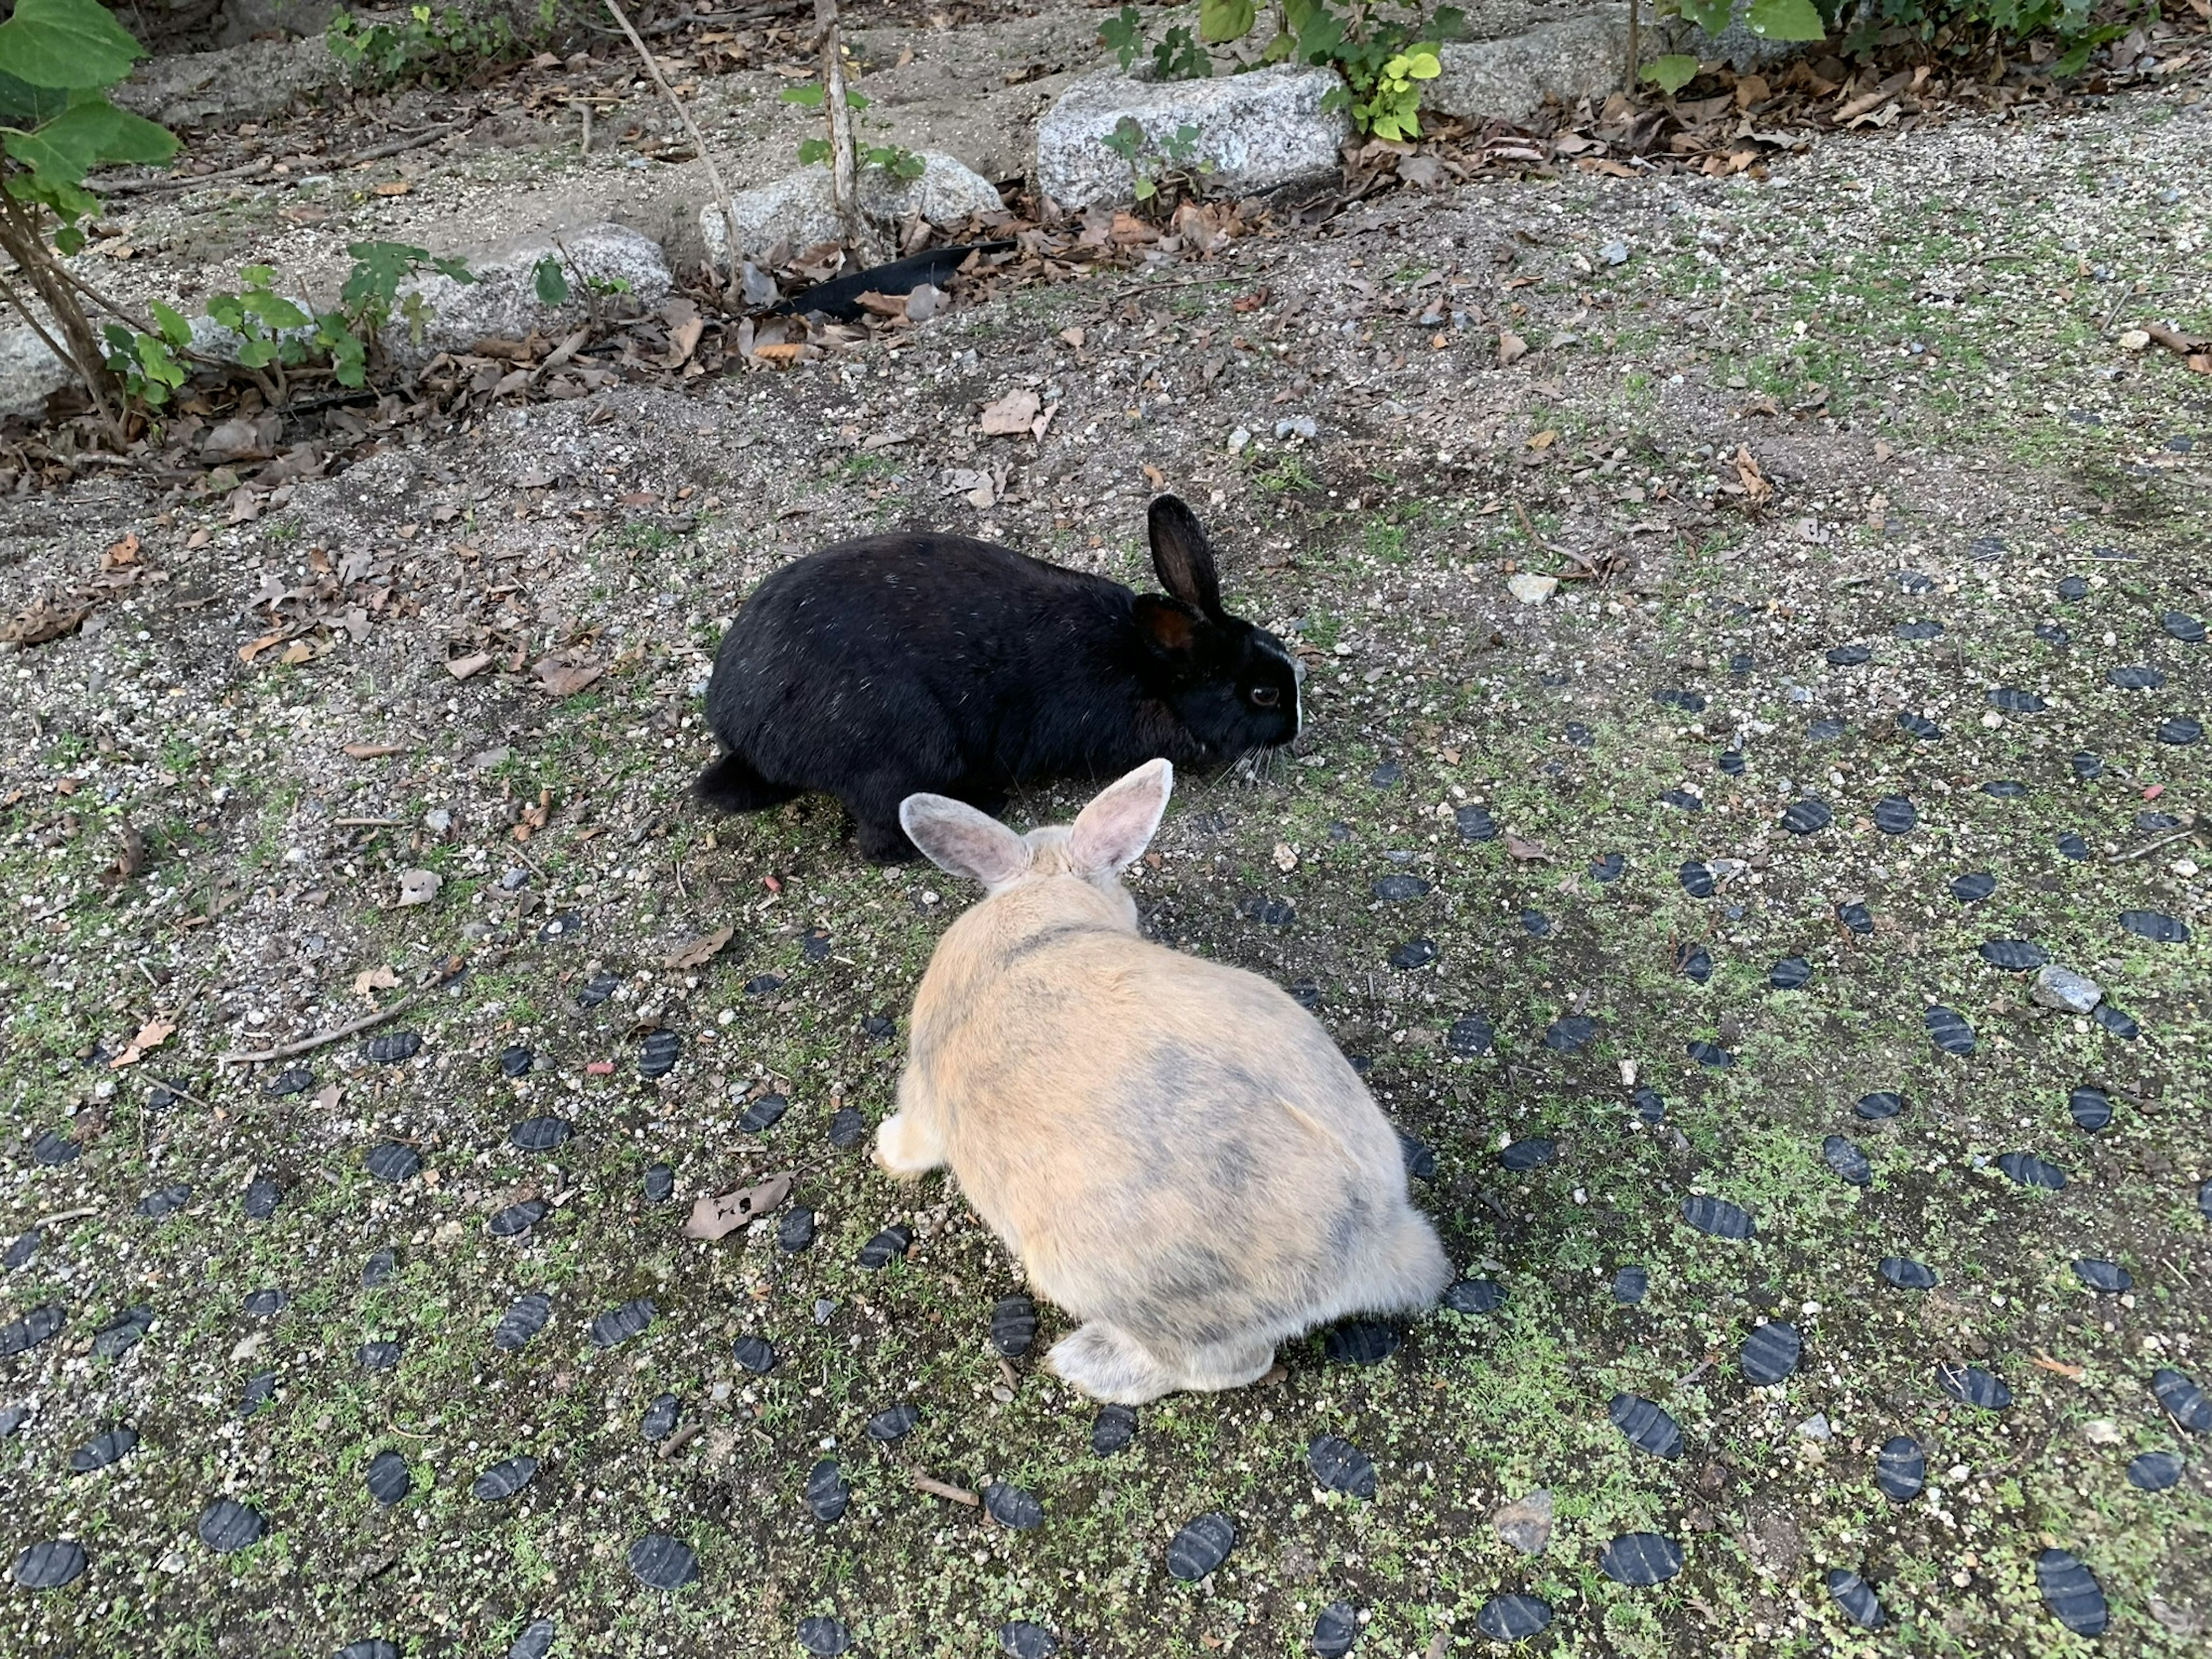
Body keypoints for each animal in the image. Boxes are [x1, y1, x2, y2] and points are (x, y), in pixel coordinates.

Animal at [699, 493, 1300, 862]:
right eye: (1263, 693)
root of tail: (752, 743)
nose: (1295, 730)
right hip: (907, 753)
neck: (1157, 676)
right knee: (885, 837)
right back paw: (987, 806)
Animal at [880, 765, 1451, 1407]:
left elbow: (916, 1135)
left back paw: (1089, 1365)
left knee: (1231, 1363)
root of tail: (1377, 1244)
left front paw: (885, 1151)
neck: (1043, 906)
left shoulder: (923, 1093)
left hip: (1107, 1283)